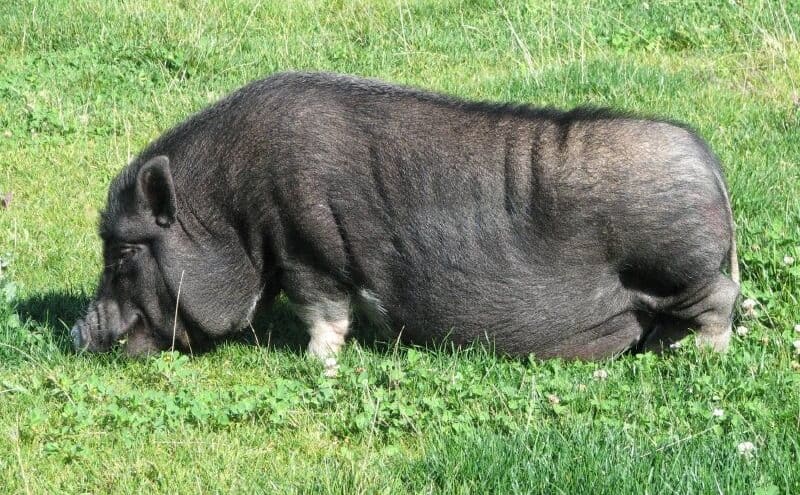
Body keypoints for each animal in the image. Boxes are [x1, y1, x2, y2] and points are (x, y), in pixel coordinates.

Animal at [71, 72, 739, 359]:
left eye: (123, 253)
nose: (78, 333)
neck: (229, 213)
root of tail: (712, 165)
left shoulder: (306, 249)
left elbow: (323, 311)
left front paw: (318, 366)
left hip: (683, 268)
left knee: (718, 303)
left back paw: (699, 355)